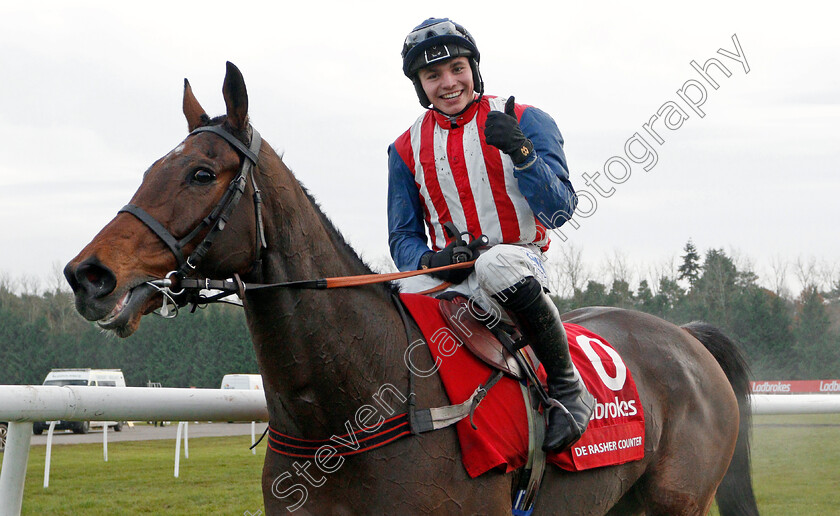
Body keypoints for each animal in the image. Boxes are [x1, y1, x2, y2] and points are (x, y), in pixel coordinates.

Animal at [67, 62, 760, 512]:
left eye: (201, 173)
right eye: (151, 169)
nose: (88, 275)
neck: (344, 408)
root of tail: (685, 338)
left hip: (677, 501)